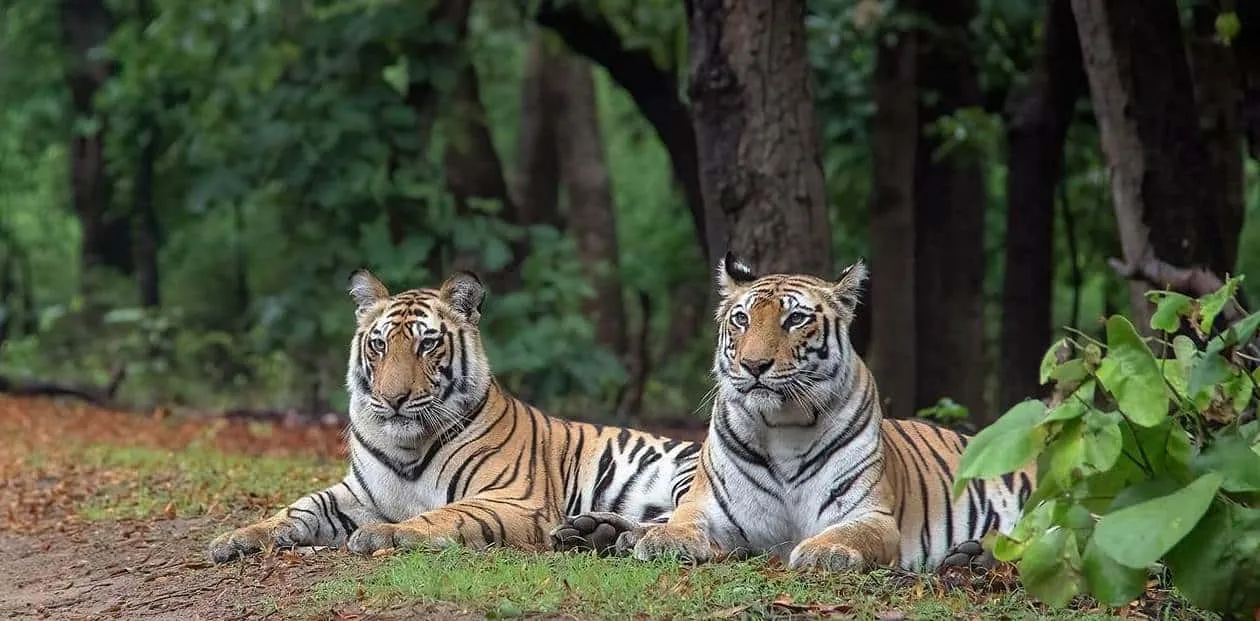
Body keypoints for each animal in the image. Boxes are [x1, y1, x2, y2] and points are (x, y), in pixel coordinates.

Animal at [207, 269, 701, 563]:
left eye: (427, 344)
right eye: (379, 344)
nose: (394, 399)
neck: (405, 446)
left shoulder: (512, 497)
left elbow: (446, 515)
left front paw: (380, 535)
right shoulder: (356, 493)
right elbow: (299, 508)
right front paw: (235, 538)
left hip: (687, 475)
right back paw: (594, 532)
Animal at [549, 253, 1035, 572]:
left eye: (795, 319)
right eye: (741, 319)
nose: (754, 364)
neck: (783, 428)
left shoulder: (870, 515)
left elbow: (847, 534)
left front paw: (825, 551)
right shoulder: (710, 505)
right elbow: (683, 519)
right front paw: (665, 541)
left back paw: (976, 556)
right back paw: (597, 532)